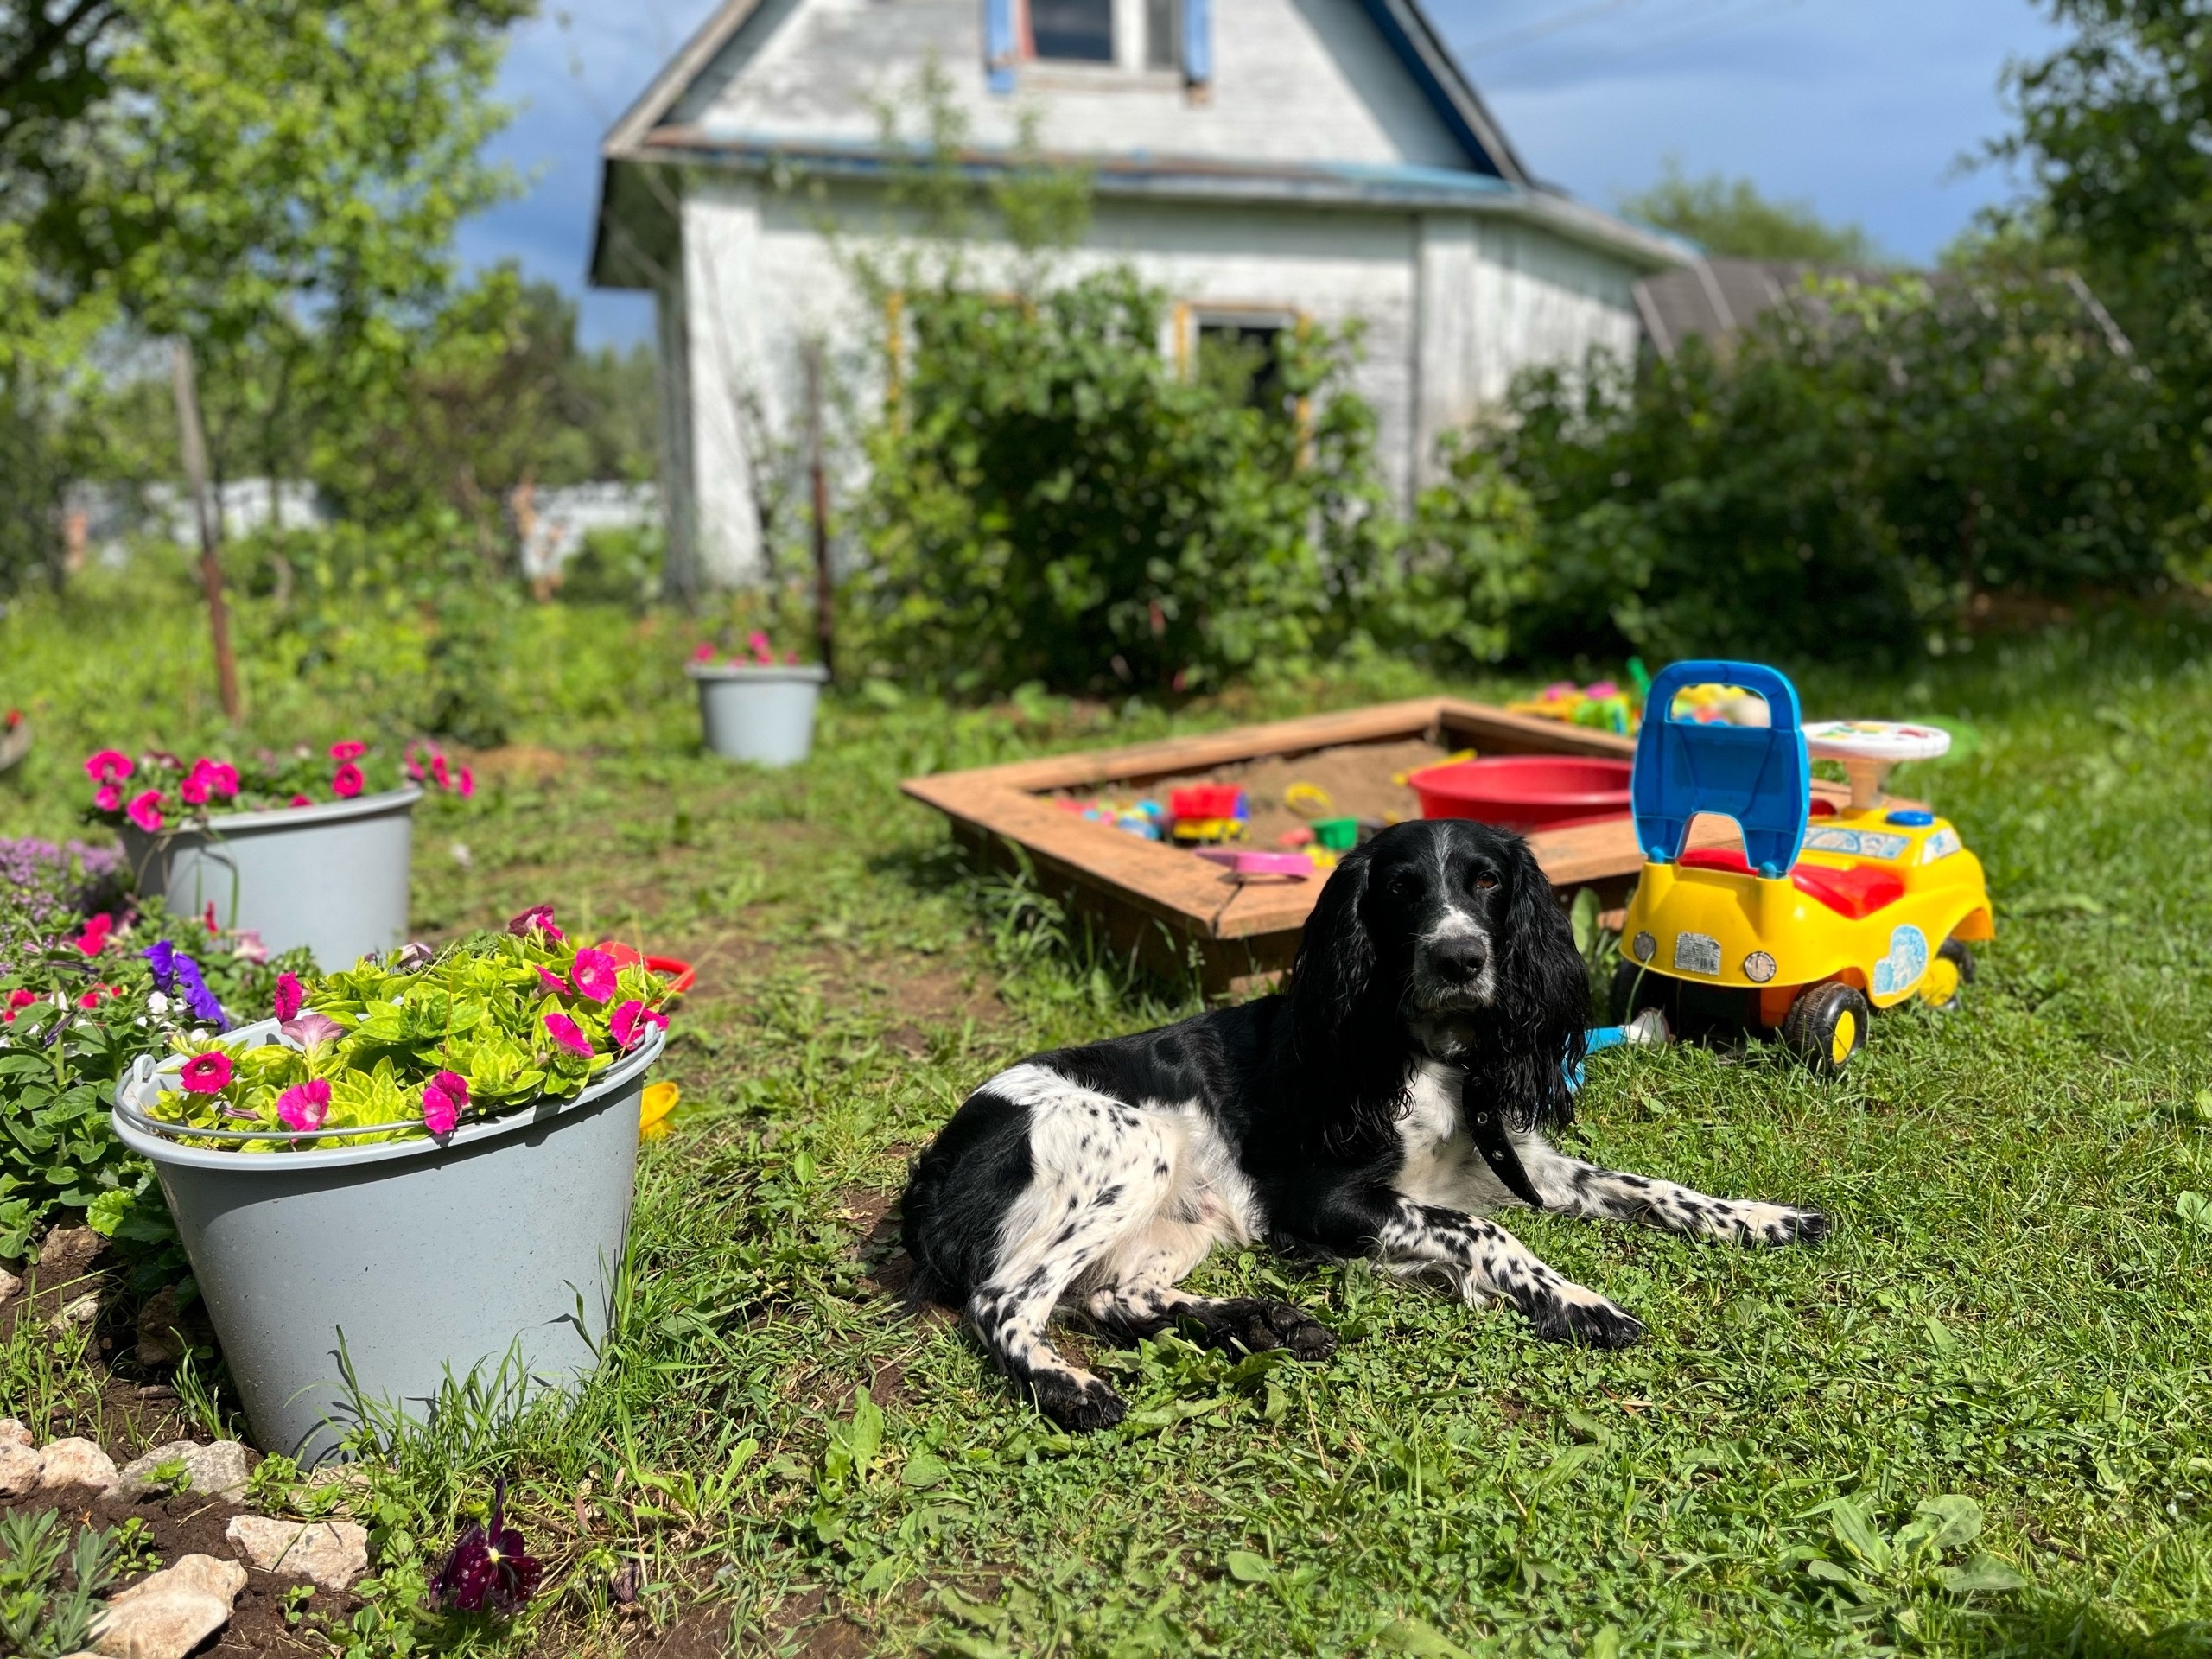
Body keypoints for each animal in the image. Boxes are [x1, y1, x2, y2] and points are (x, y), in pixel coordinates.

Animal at [898, 818, 1831, 1433]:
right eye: (1400, 889)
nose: (1459, 959)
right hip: (1134, 1148)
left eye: (1488, 881)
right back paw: (1071, 1388)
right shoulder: (1327, 1199)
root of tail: (935, 1167)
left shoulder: (1516, 1161)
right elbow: (1487, 1235)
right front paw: (1575, 1300)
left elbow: (1651, 1188)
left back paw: (1261, 1323)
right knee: (1007, 1300)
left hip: (1175, 1215)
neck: (1437, 1058)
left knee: (1113, 1296)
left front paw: (1761, 1218)